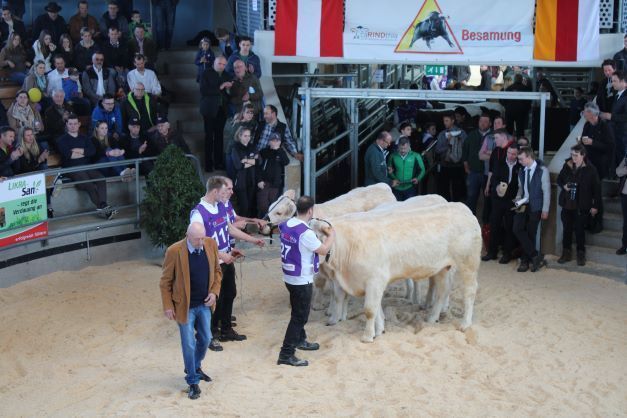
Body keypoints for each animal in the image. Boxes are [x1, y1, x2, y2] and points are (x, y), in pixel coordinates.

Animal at [312, 202, 480, 342]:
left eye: (314, 236)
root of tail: (464, 208)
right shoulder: (371, 282)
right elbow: (376, 308)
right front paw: (379, 330)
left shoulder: (375, 280)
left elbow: (369, 310)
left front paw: (367, 336)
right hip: (442, 268)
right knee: (442, 291)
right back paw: (432, 319)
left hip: (468, 263)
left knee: (470, 291)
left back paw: (465, 324)